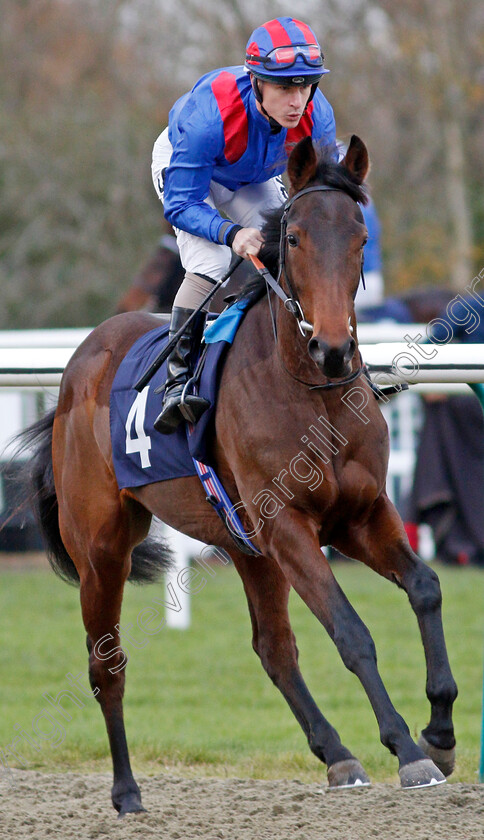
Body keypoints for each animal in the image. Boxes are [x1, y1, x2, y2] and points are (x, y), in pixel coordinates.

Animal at [19, 136, 458, 812]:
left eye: (360, 237)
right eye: (295, 237)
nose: (334, 347)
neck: (310, 390)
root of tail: (78, 364)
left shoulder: (359, 515)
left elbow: (426, 588)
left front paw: (440, 731)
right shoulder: (289, 526)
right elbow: (351, 632)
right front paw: (408, 750)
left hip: (244, 545)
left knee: (273, 648)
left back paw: (338, 755)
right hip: (101, 549)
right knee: (105, 666)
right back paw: (126, 791)